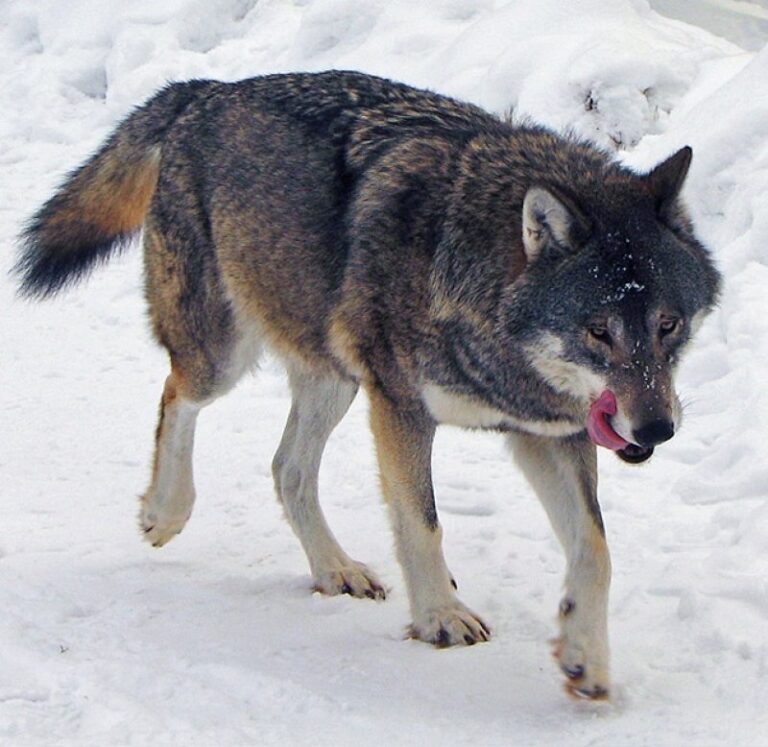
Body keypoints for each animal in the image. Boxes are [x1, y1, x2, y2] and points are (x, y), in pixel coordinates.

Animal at [13, 70, 720, 700]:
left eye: (668, 324)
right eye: (599, 331)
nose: (657, 429)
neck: (469, 275)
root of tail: (206, 89)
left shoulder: (549, 433)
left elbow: (595, 551)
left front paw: (585, 657)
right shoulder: (400, 407)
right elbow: (422, 523)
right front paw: (440, 618)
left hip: (333, 378)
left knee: (286, 468)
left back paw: (335, 569)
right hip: (226, 356)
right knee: (175, 395)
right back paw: (165, 512)